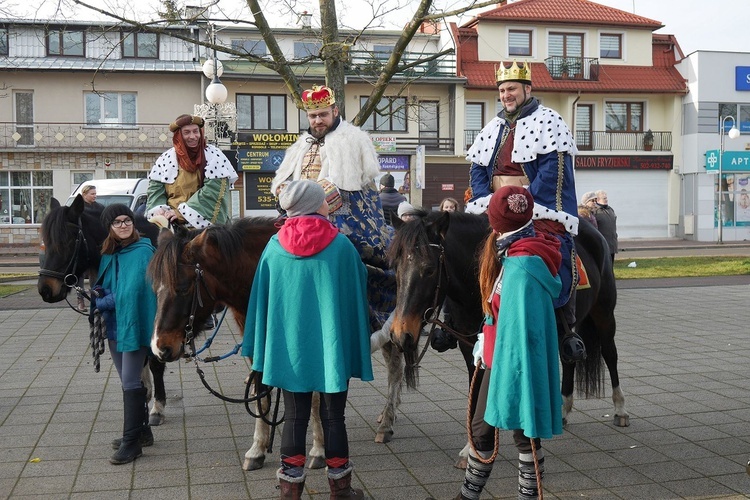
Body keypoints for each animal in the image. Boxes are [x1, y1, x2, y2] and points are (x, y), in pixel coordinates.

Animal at [37, 195, 169, 426]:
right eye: (47, 240)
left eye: (68, 241)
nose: (45, 289)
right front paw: (144, 397)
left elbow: (154, 363)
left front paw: (157, 408)